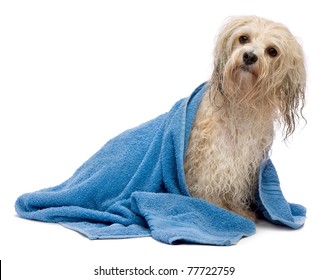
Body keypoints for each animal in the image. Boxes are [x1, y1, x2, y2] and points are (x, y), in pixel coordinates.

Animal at [184, 15, 308, 221]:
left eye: (272, 51)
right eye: (243, 38)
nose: (249, 56)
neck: (240, 104)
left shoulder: (242, 161)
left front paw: (238, 211)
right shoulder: (209, 160)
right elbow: (208, 188)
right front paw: (216, 210)